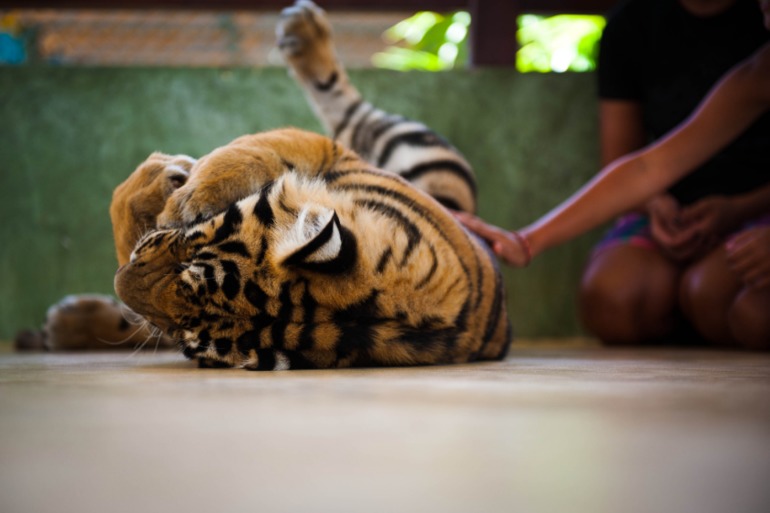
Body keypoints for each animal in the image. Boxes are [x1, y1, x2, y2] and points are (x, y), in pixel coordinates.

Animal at [17, 0, 512, 368]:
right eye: (190, 246)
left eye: (186, 333)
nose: (123, 284)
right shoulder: (331, 153)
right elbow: (261, 144)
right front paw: (185, 183)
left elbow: (132, 233)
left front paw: (168, 181)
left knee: (349, 105)